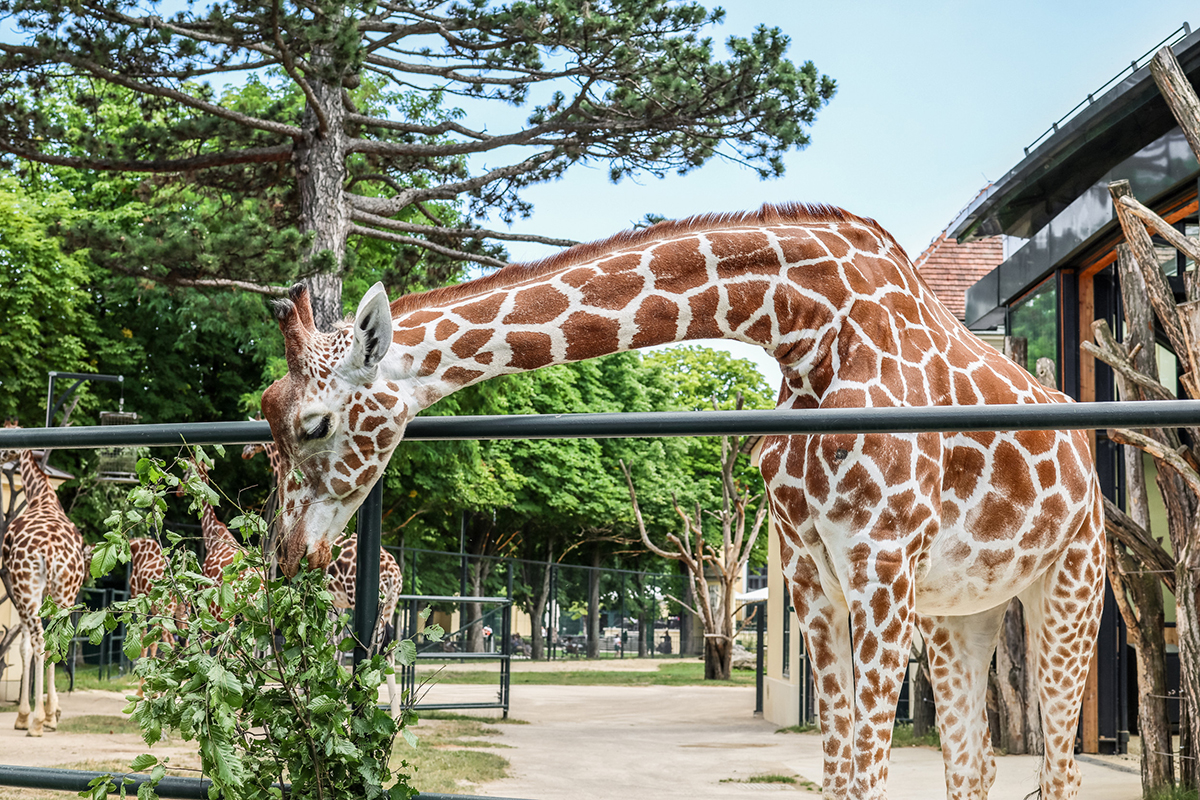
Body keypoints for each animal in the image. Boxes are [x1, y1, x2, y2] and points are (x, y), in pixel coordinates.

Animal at [0, 420, 88, 737]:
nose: (1, 455)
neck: (41, 495)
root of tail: (49, 550)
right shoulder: (52, 594)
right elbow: (53, 641)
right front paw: (54, 711)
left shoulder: (23, 590)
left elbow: (25, 646)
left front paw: (26, 715)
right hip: (65, 591)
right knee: (56, 637)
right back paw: (46, 717)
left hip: (27, 587)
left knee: (37, 639)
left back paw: (34, 720)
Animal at [259, 203, 1104, 799]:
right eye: (265, 416)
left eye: (313, 424)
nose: (289, 556)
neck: (807, 330)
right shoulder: (813, 574)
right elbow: (837, 774)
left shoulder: (881, 562)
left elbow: (868, 774)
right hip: (960, 613)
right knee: (975, 765)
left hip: (1071, 587)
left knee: (1059, 767)